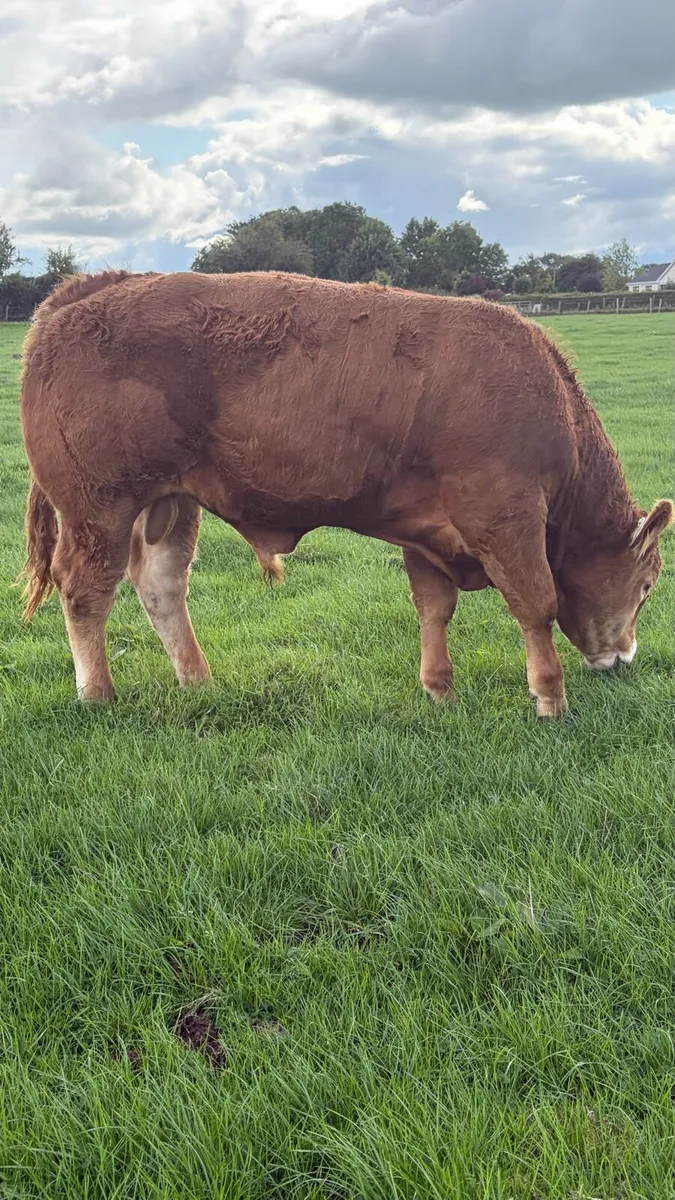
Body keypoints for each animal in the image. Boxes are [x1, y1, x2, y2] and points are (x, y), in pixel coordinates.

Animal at [19, 270, 673, 716]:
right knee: (84, 591)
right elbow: (537, 605)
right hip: (98, 508)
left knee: (160, 586)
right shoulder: (506, 517)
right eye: (645, 587)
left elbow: (433, 608)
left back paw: (197, 680)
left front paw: (438, 690)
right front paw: (550, 702)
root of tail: (85, 293)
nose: (625, 658)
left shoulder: (425, 528)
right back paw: (97, 693)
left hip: (168, 503)